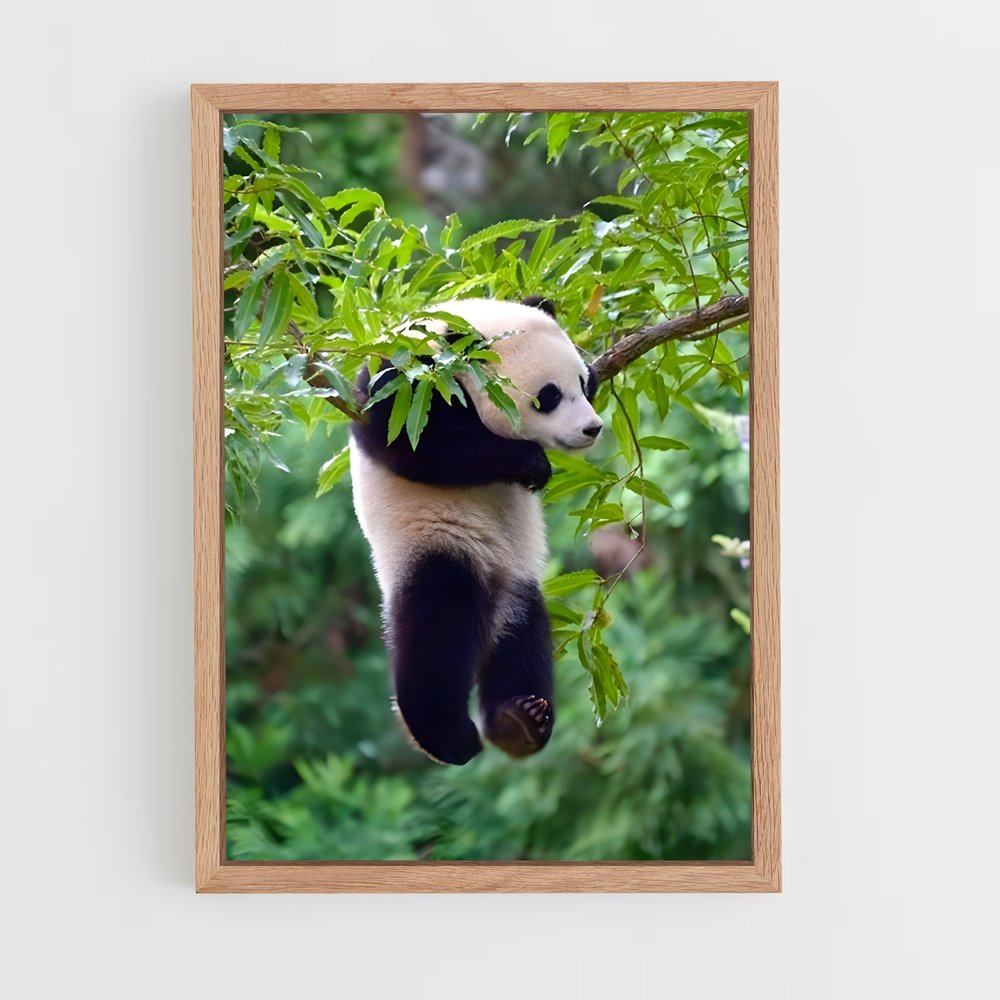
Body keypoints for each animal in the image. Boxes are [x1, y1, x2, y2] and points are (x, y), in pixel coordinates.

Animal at [349, 296, 602, 765]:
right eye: (549, 396)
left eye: (582, 382)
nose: (591, 428)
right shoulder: (406, 382)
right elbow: (416, 443)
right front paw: (532, 464)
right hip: (434, 545)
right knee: (436, 636)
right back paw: (450, 737)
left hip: (519, 583)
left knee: (524, 644)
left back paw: (520, 721)